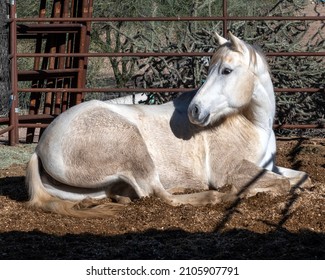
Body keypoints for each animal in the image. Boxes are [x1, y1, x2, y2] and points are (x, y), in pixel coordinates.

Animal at [26, 31, 308, 218]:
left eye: (226, 71)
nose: (196, 110)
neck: (253, 126)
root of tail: (40, 147)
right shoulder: (229, 170)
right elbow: (282, 184)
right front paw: (244, 191)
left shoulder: (268, 167)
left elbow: (302, 178)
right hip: (133, 149)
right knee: (159, 195)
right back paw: (216, 195)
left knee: (137, 193)